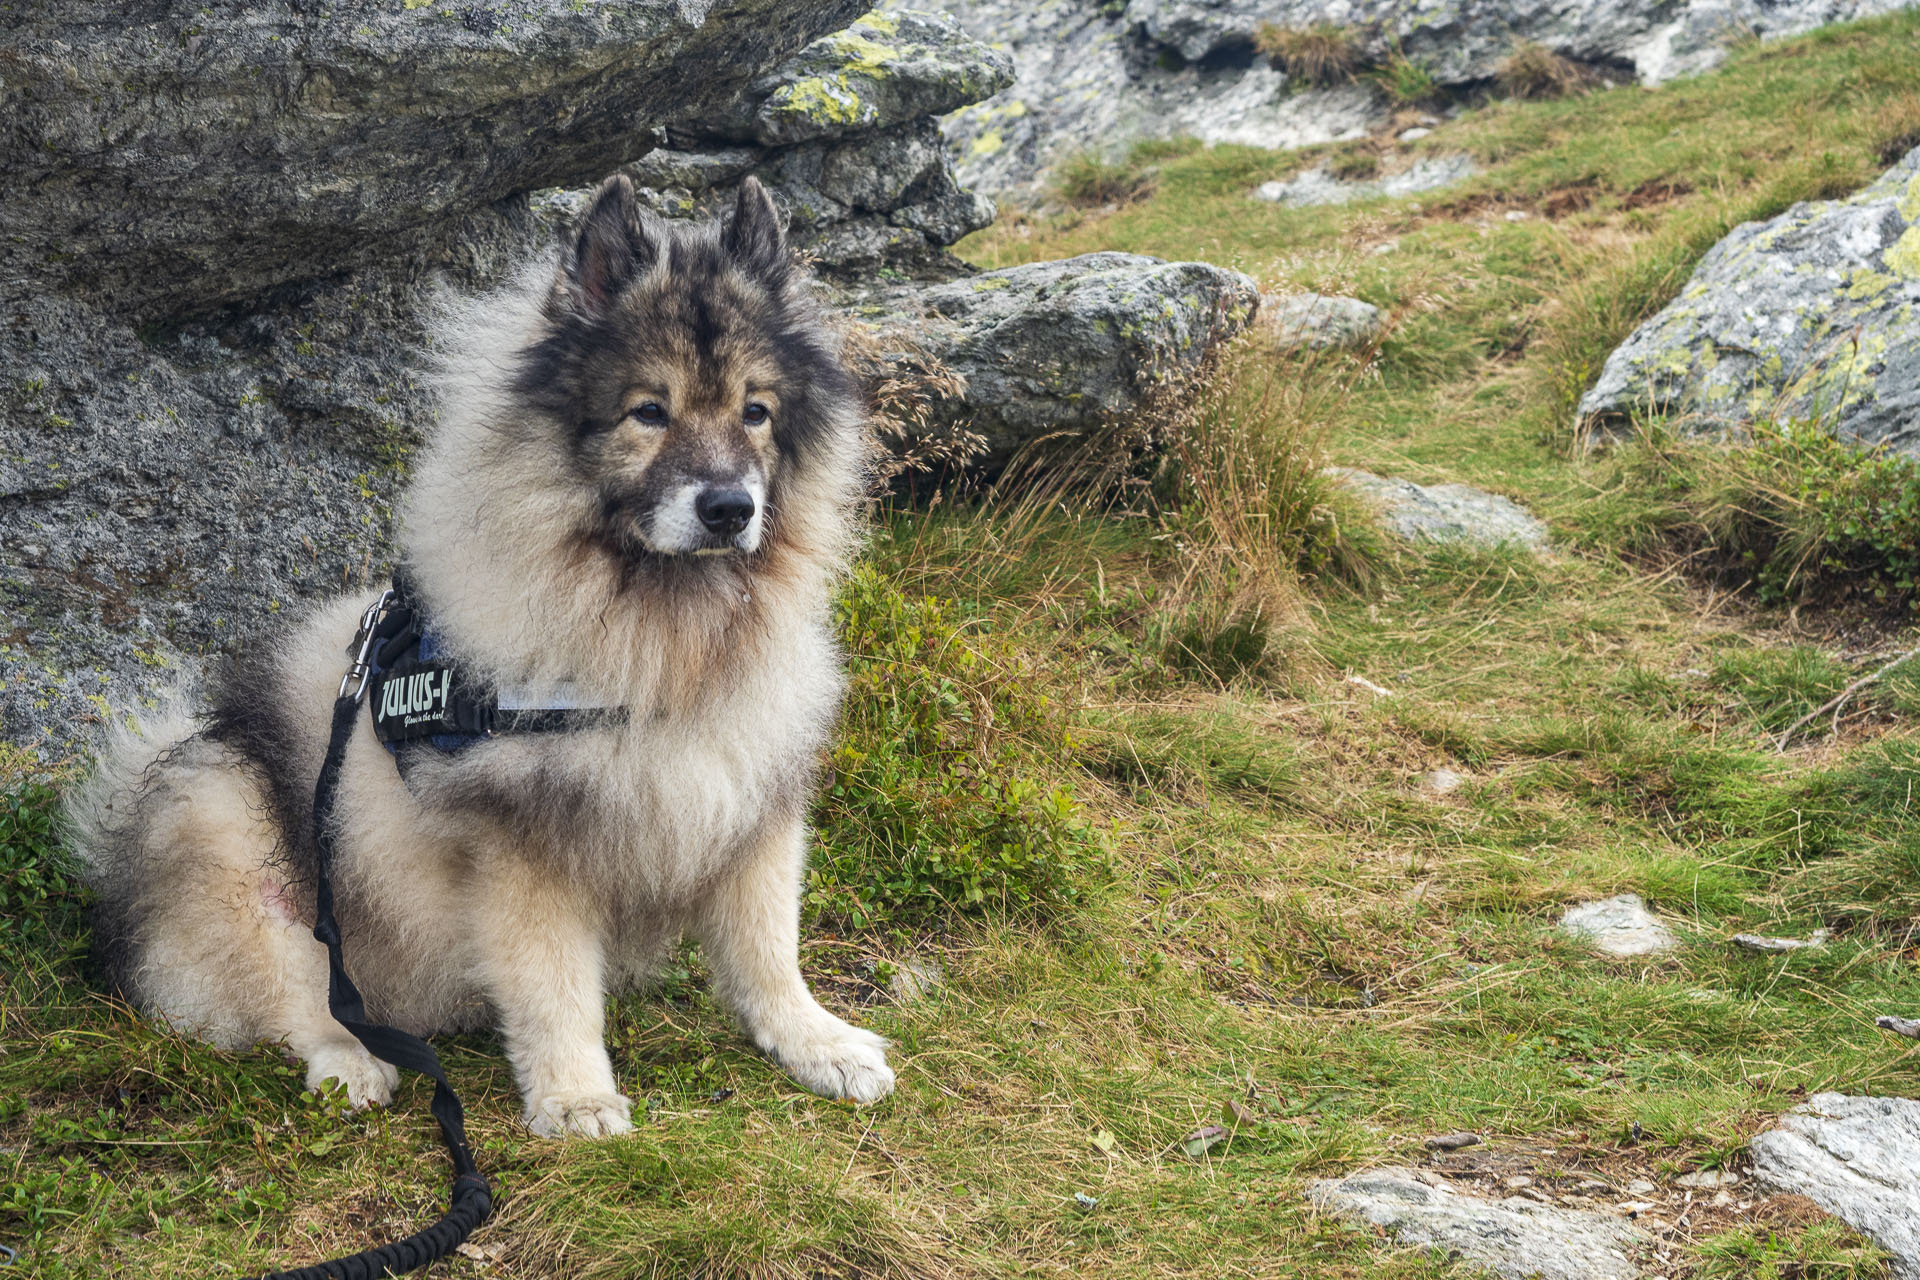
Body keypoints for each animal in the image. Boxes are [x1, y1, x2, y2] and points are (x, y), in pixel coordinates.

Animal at [65, 172, 890, 1143]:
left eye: (755, 412)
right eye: (649, 412)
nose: (728, 508)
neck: (664, 633)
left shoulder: (752, 800)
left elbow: (769, 951)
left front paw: (815, 1042)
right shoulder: (523, 847)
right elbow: (554, 985)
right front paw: (576, 1097)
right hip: (227, 824)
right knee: (301, 1000)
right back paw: (353, 1063)